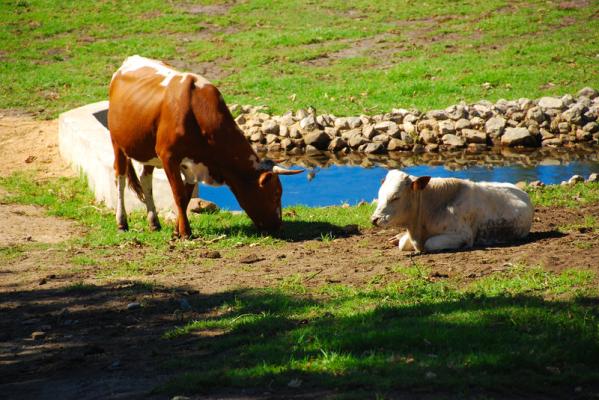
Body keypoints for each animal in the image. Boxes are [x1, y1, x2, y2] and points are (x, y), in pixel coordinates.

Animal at [108, 55, 302, 238]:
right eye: (276, 193)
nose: (278, 226)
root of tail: (129, 61)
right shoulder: (168, 156)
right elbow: (178, 194)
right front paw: (185, 232)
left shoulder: (192, 166)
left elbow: (186, 197)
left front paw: (177, 231)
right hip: (117, 143)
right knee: (120, 179)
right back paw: (122, 223)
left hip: (147, 151)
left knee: (145, 180)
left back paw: (154, 222)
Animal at [370, 170, 536, 252]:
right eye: (380, 194)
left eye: (395, 197)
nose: (374, 219)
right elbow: (403, 243)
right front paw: (400, 238)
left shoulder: (464, 235)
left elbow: (430, 243)